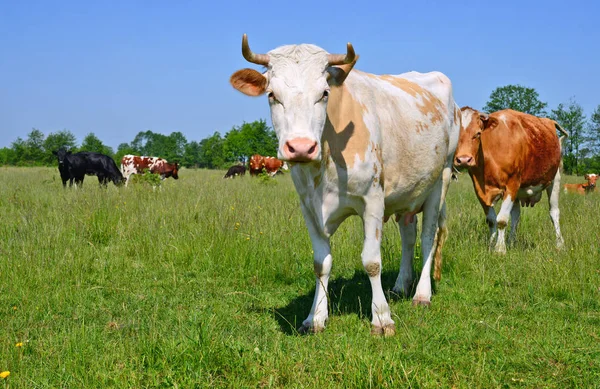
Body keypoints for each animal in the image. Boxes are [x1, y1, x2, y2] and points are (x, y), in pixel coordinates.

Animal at [230, 34, 460, 334]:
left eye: (324, 93)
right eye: (272, 95)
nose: (301, 147)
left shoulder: (373, 199)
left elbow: (372, 261)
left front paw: (382, 318)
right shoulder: (308, 206)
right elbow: (321, 263)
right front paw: (315, 317)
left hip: (440, 180)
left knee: (428, 237)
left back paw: (422, 294)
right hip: (407, 193)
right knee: (409, 237)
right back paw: (400, 285)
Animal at [454, 107, 568, 252]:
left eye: (478, 133)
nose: (463, 159)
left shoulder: (511, 184)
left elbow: (502, 220)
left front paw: (499, 249)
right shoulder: (479, 188)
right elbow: (492, 220)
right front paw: (491, 245)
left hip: (554, 179)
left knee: (554, 213)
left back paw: (560, 244)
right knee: (516, 216)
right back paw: (511, 241)